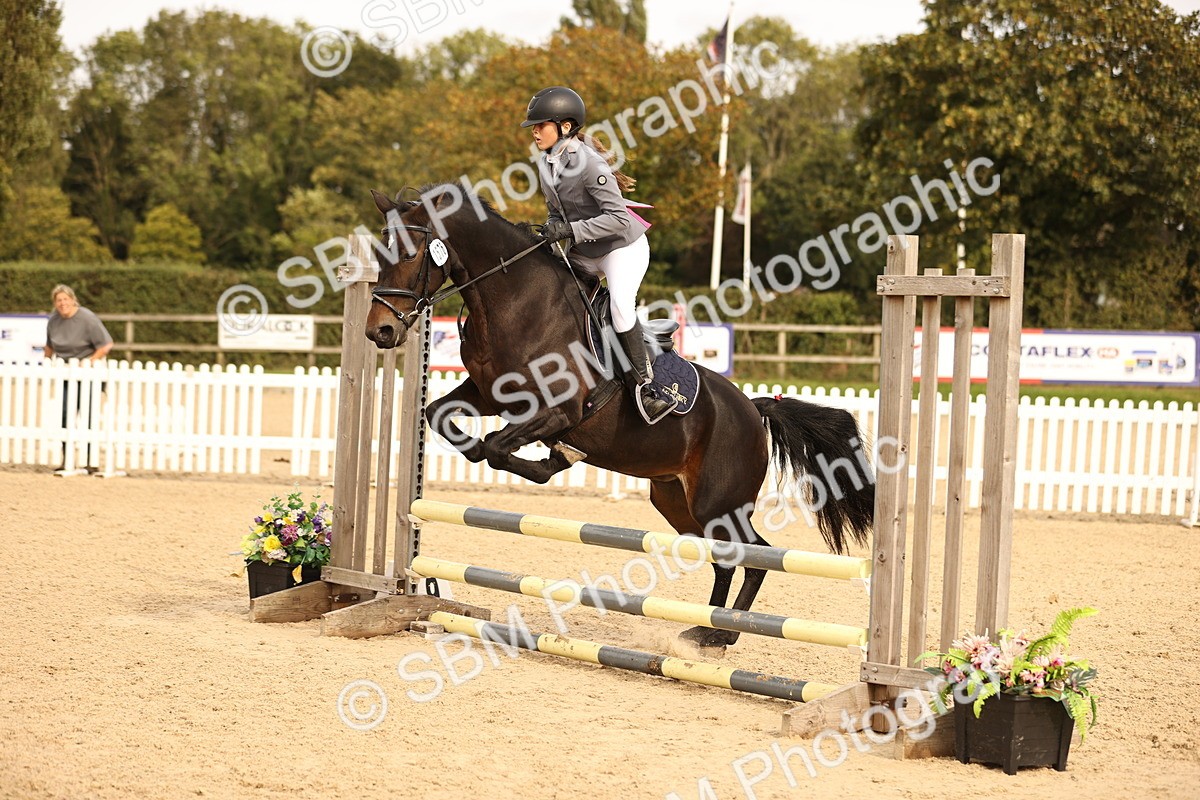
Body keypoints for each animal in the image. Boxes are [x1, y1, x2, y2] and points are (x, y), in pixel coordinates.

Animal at [365, 185, 875, 652]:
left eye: (412, 254)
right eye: (378, 253)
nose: (379, 331)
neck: (514, 303)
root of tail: (752, 407)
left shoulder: (559, 409)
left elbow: (497, 446)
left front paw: (555, 458)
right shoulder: (489, 394)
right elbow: (440, 415)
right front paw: (510, 456)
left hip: (719, 501)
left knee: (753, 556)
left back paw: (717, 635)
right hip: (677, 501)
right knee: (727, 558)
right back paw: (705, 631)